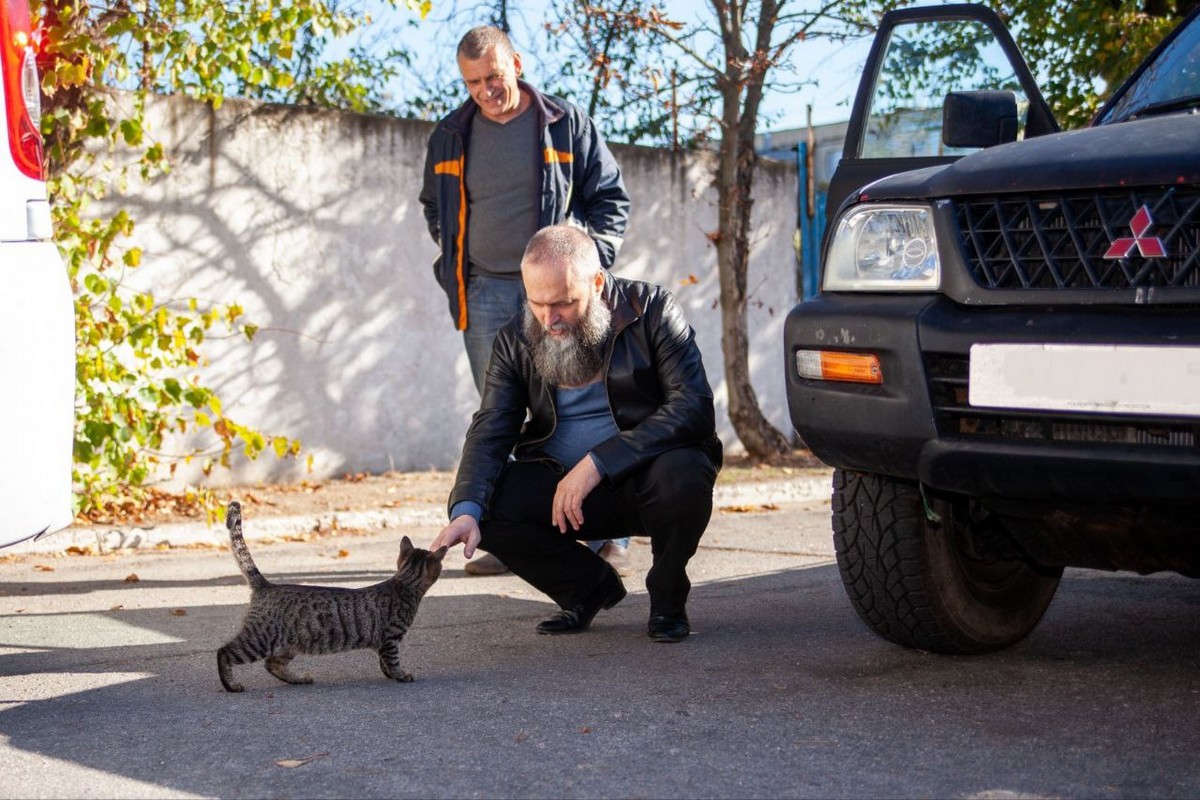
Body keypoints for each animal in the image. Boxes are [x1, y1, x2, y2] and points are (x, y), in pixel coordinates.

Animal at [216, 501, 446, 695]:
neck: (404, 583)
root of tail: (267, 585)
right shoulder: (391, 638)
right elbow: (393, 660)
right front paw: (401, 675)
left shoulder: (382, 643)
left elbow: (383, 661)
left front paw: (390, 674)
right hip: (260, 638)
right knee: (224, 652)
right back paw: (231, 685)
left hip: (289, 644)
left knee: (272, 664)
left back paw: (299, 679)